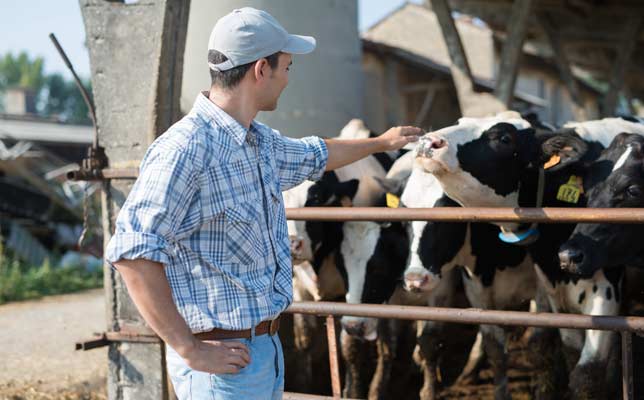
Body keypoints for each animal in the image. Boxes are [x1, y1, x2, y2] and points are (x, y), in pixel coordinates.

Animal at [412, 113, 644, 400]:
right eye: (459, 121)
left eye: (504, 138)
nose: (428, 141)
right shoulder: (547, 289)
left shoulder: (604, 292)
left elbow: (583, 373)